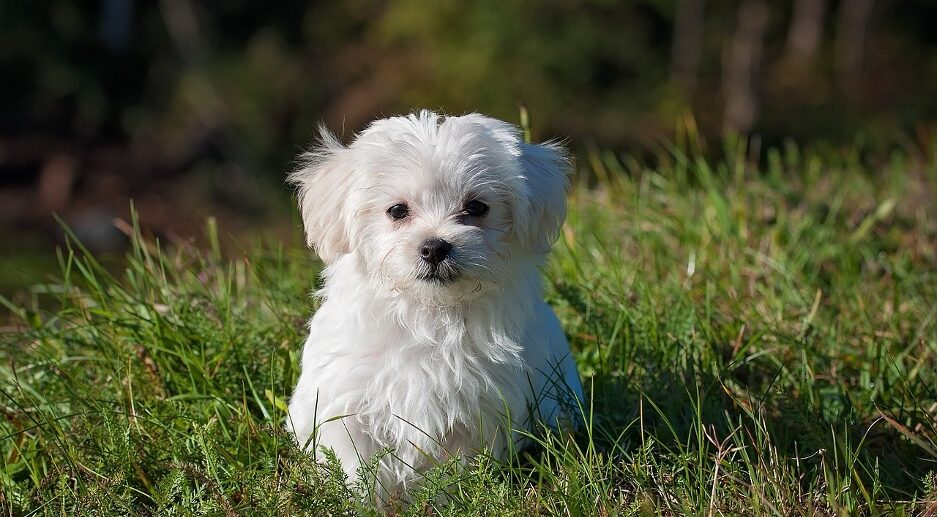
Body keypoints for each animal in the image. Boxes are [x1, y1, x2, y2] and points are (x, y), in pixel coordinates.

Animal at [288, 110, 576, 496]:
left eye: (476, 207)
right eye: (397, 210)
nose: (435, 246)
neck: (429, 313)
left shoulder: (478, 410)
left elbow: (455, 470)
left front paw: (447, 499)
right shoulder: (347, 403)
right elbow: (358, 467)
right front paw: (363, 501)